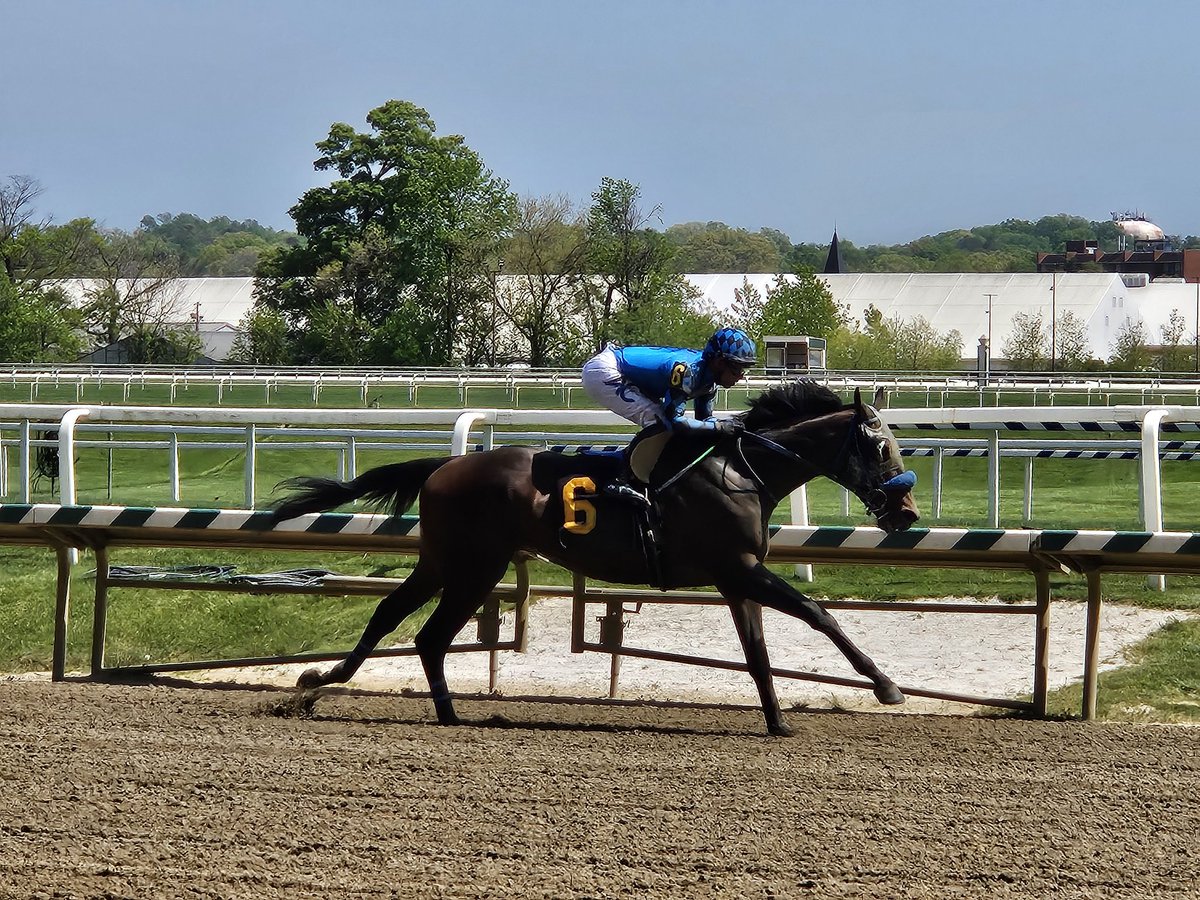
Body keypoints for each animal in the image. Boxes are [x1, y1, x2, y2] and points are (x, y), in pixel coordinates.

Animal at [272, 381, 921, 739]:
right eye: (878, 445)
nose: (907, 511)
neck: (741, 470)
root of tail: (444, 465)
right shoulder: (740, 569)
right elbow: (818, 613)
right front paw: (886, 685)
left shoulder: (736, 579)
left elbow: (758, 654)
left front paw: (778, 721)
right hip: (473, 566)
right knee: (427, 631)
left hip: (446, 562)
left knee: (399, 620)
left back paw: (330, 688)